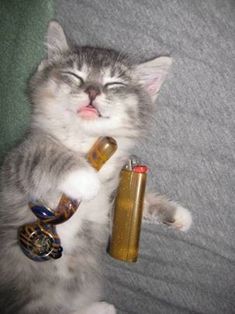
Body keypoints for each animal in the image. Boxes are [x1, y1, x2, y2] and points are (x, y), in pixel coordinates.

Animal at [0, 22, 192, 314]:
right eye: (75, 76)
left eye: (114, 84)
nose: (92, 91)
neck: (85, 142)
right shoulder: (16, 162)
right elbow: (44, 157)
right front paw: (84, 178)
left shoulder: (108, 203)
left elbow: (132, 204)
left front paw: (177, 214)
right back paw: (101, 308)